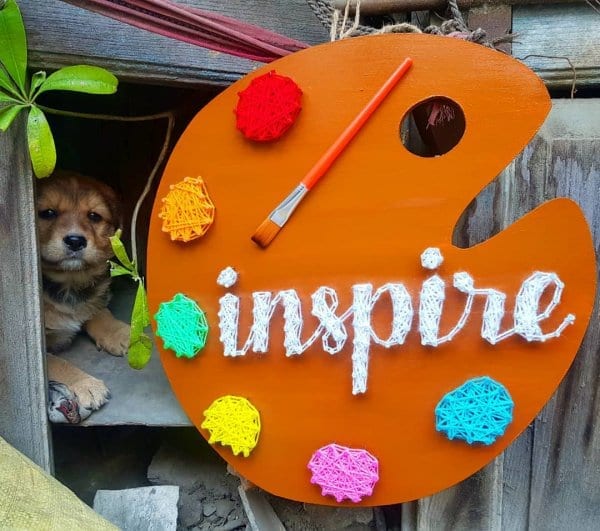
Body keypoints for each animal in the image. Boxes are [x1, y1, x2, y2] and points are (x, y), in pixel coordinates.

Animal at [36, 172, 130, 422]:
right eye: (48, 213)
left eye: (94, 216)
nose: (76, 241)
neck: (69, 284)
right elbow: (57, 362)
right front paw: (86, 384)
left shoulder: (91, 302)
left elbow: (100, 313)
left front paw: (122, 333)